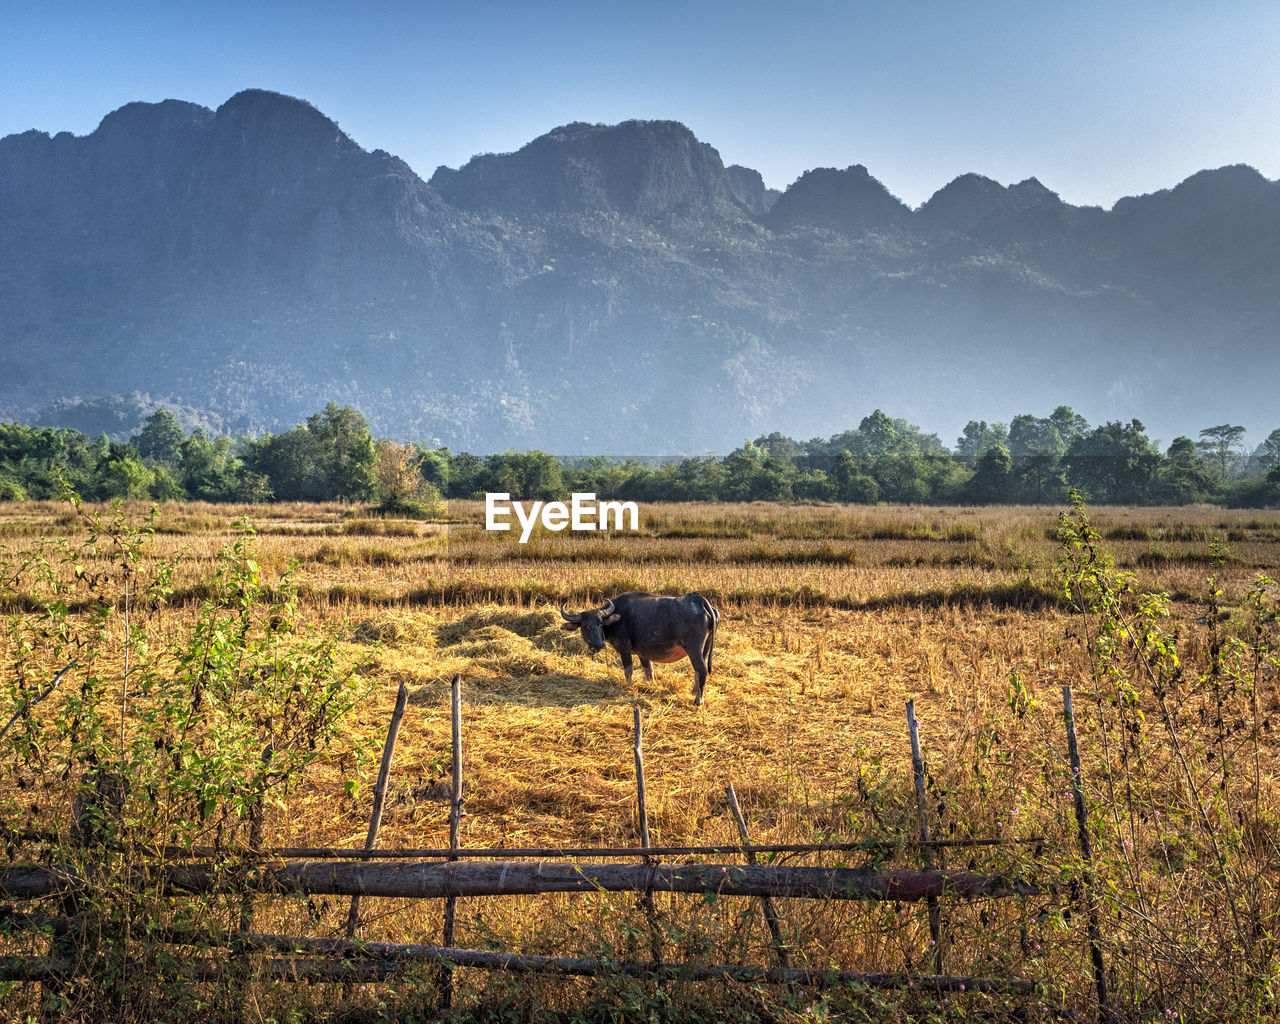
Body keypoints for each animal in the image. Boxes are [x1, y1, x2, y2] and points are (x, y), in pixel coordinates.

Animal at [560, 591, 721, 706]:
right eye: (586, 627)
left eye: (600, 624)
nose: (599, 645)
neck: (616, 617)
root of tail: (700, 601)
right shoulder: (644, 653)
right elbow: (649, 671)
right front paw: (652, 686)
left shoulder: (624, 647)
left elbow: (628, 670)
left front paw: (628, 686)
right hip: (705, 648)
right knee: (698, 672)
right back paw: (694, 691)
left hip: (694, 649)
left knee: (701, 669)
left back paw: (698, 700)